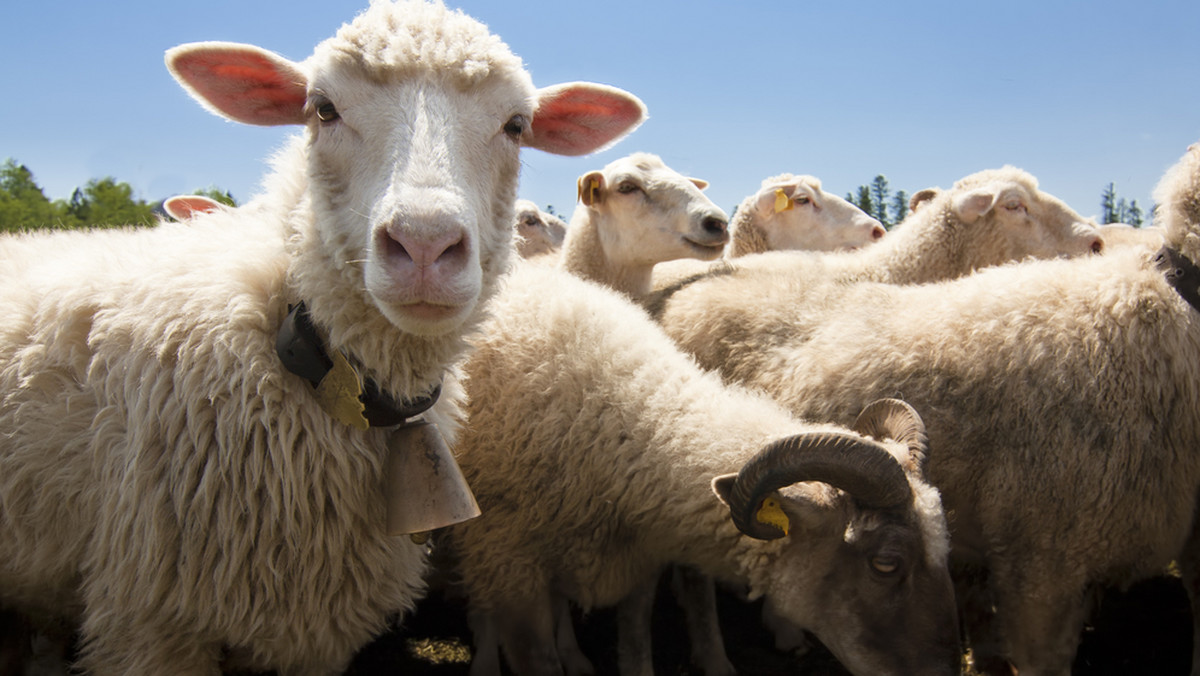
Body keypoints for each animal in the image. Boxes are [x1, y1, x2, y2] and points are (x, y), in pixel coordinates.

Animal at [446, 261, 960, 676]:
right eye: (885, 564)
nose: (944, 672)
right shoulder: (512, 570)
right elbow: (537, 655)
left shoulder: (641, 562)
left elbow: (636, 643)